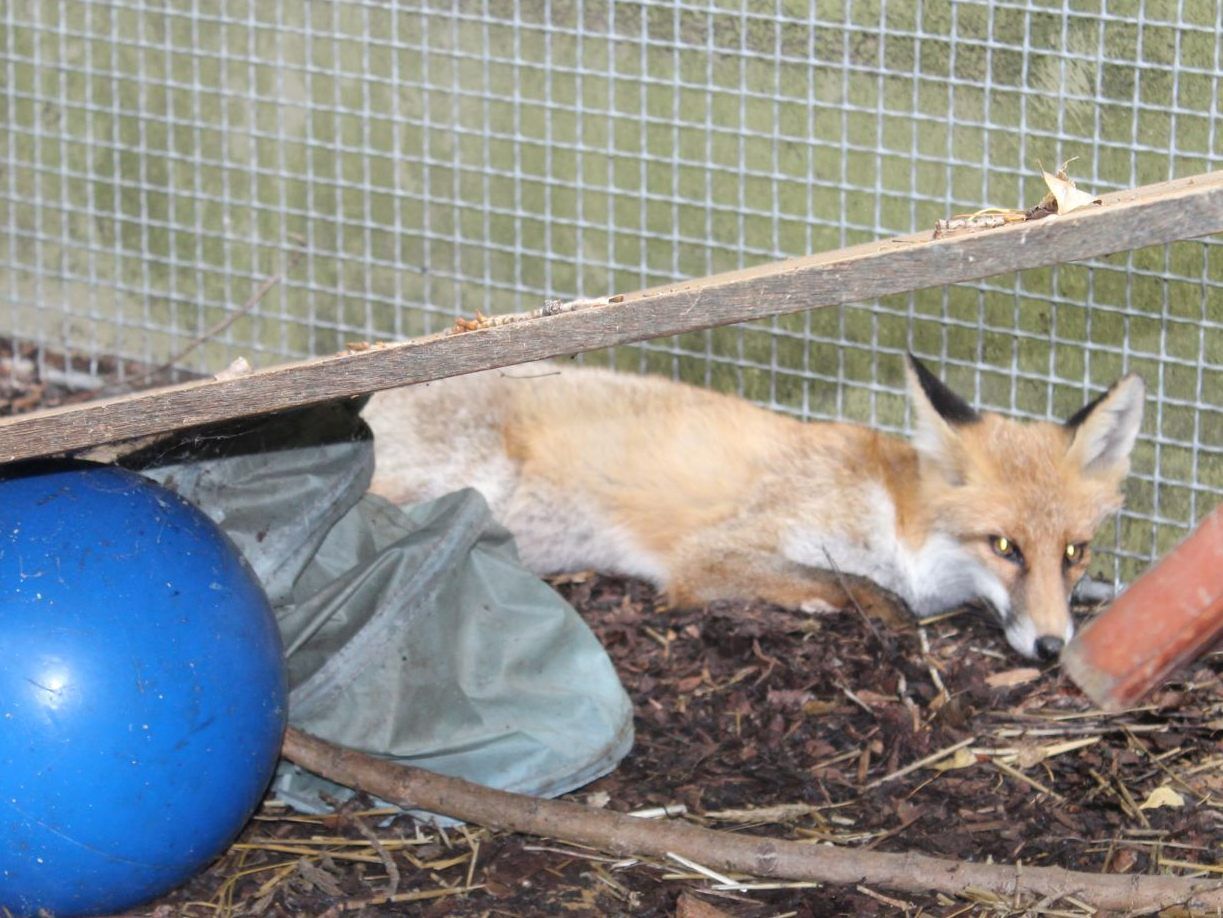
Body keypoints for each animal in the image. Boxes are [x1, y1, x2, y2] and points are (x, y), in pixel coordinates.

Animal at [362, 354, 1144, 664]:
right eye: (1004, 546)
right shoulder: (712, 555)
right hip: (466, 481)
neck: (896, 519)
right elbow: (858, 588)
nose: (1053, 648)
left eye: (1073, 553)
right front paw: (877, 613)